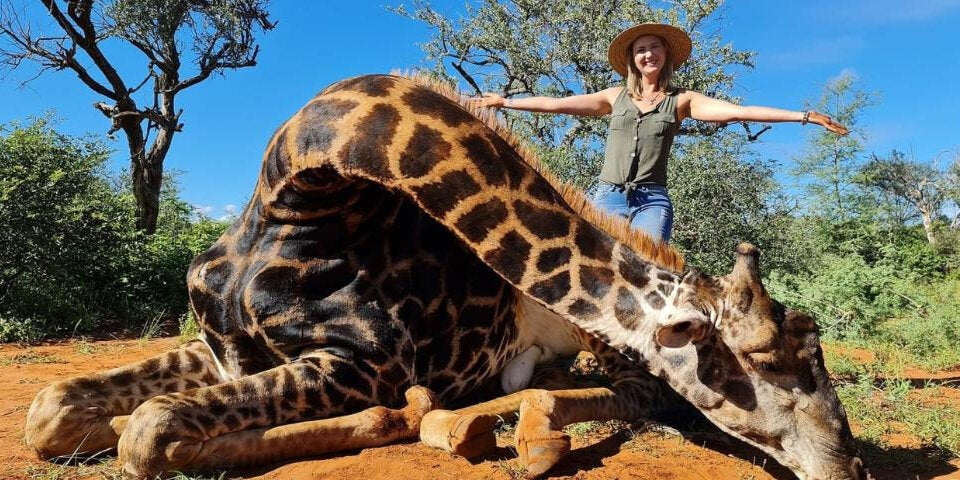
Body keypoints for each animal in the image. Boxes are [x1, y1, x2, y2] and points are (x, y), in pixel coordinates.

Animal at [24, 74, 868, 480]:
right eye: (771, 363)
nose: (851, 467)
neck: (296, 195)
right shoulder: (221, 345)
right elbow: (53, 411)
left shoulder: (362, 363)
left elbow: (150, 431)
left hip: (599, 352)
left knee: (627, 393)